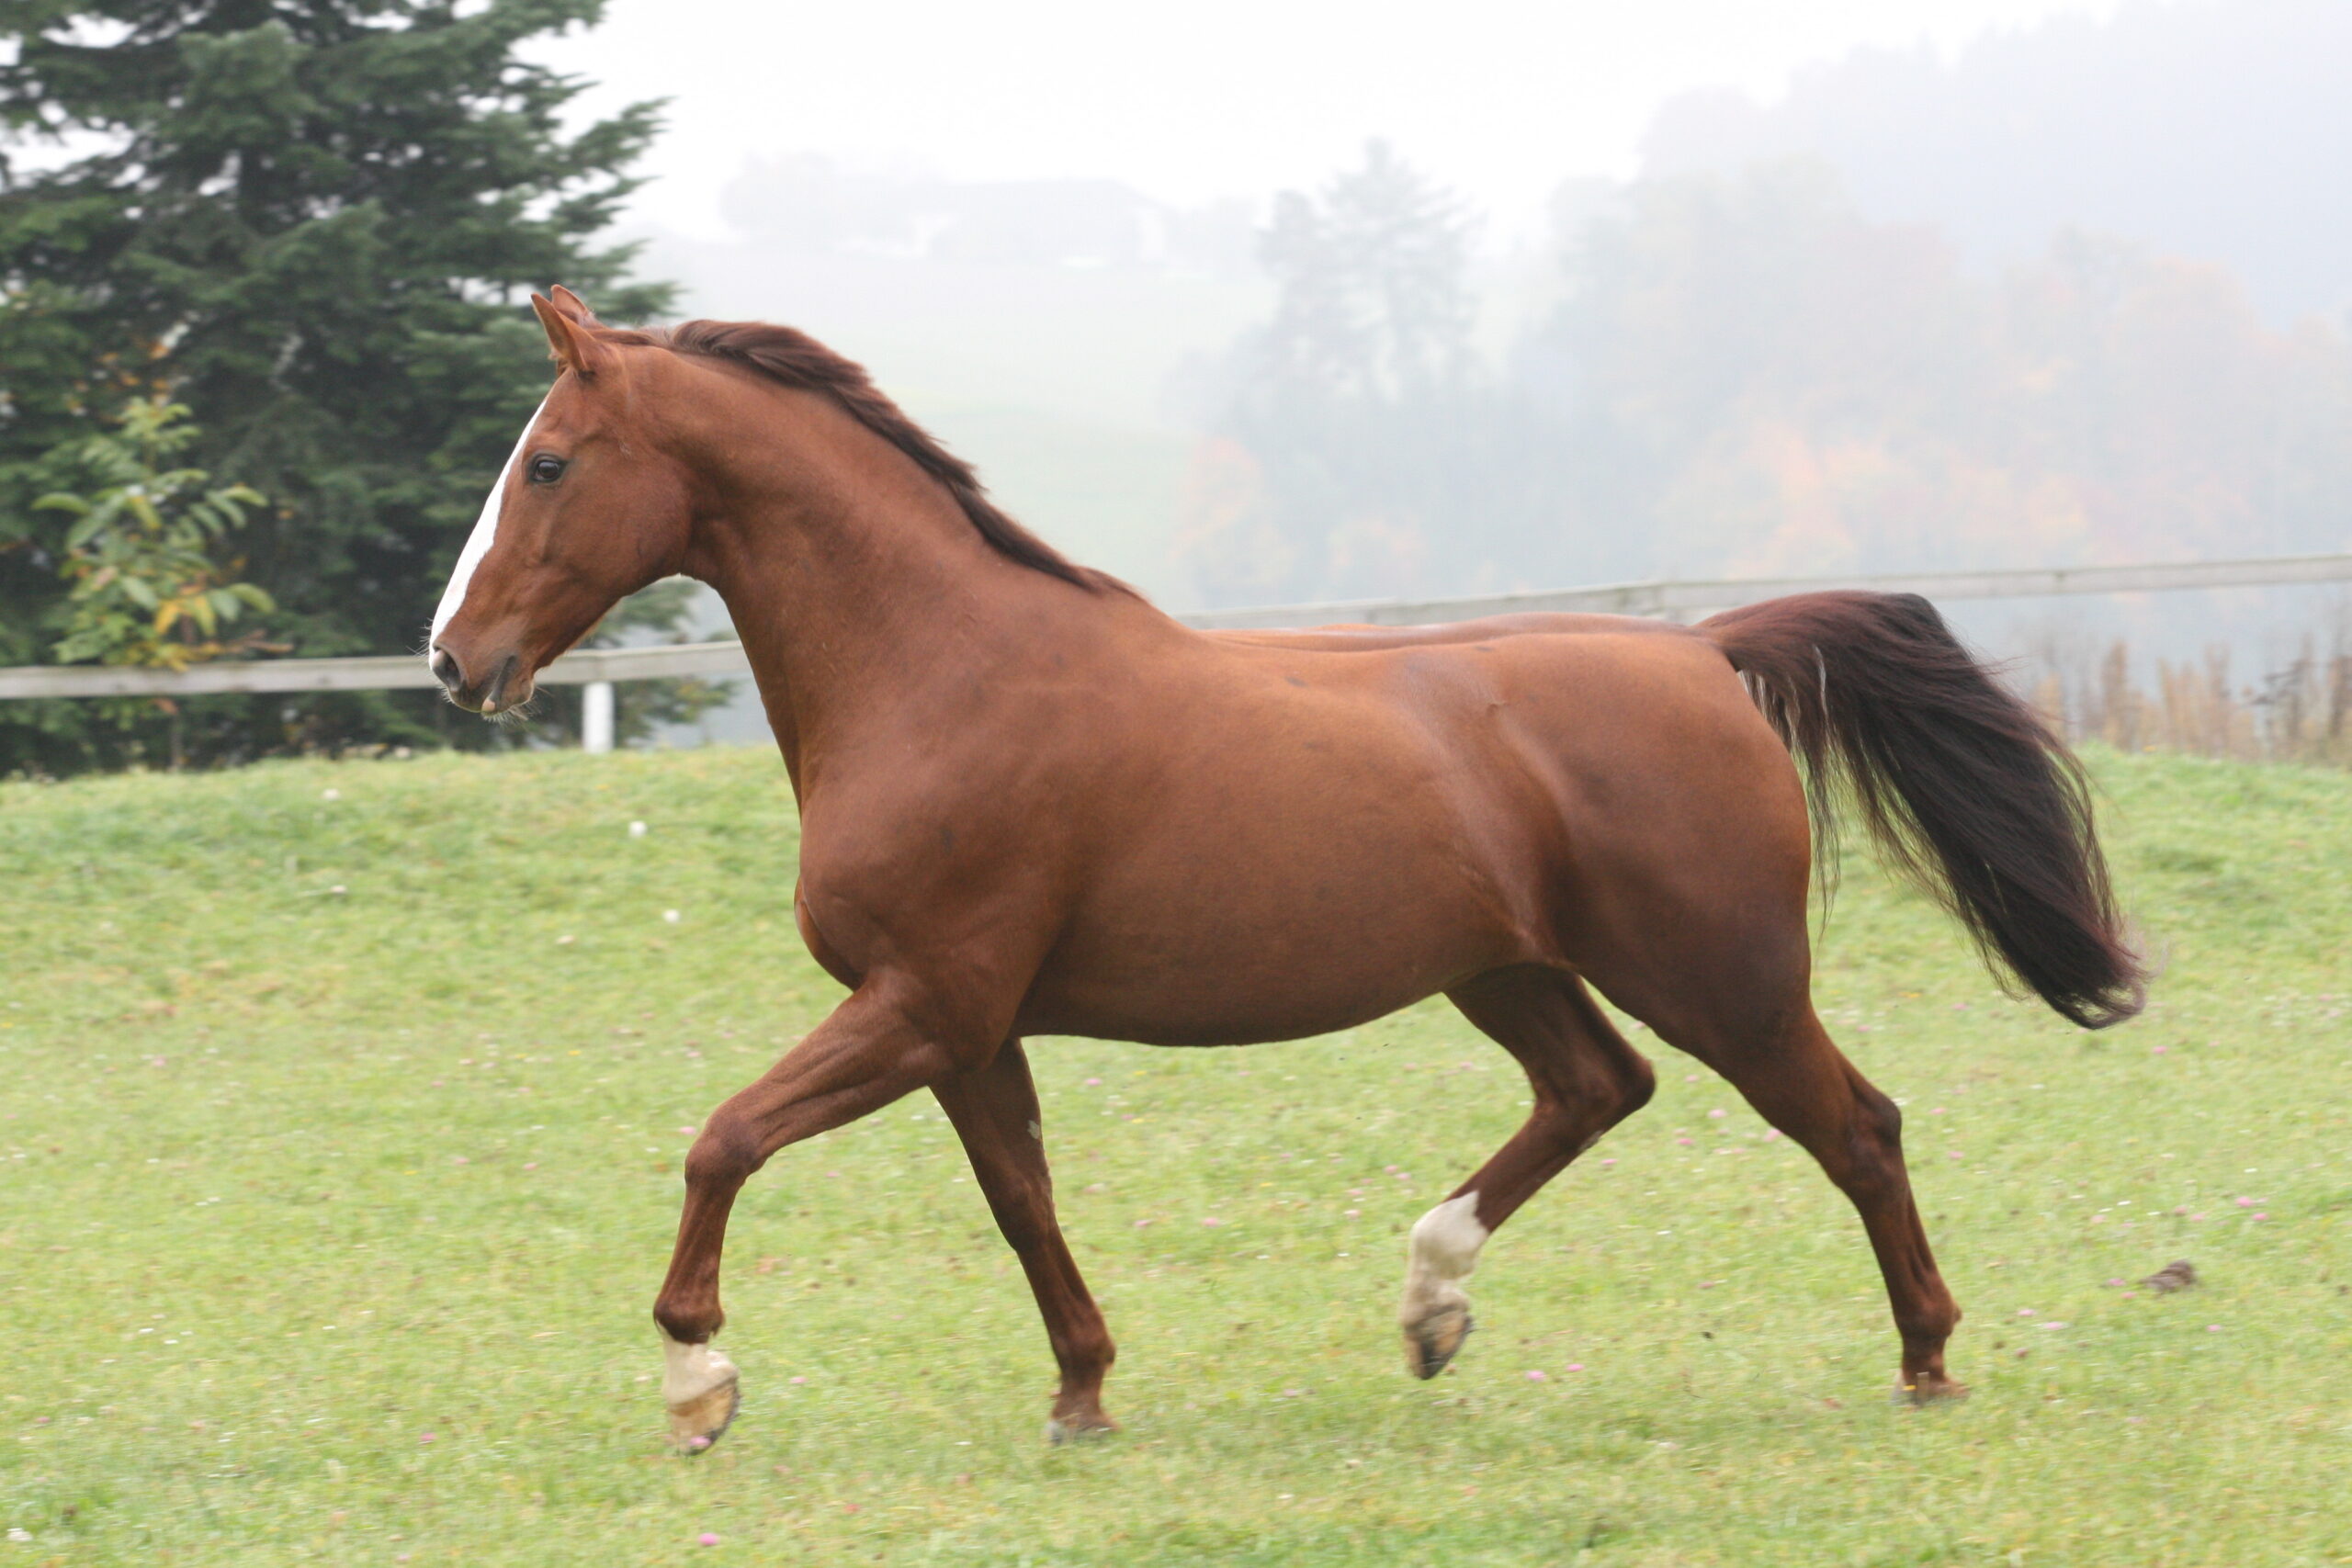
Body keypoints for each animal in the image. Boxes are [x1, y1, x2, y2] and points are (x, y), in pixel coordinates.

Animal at [425, 287, 2145, 1451]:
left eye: (552, 463)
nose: (455, 660)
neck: (940, 670)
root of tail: (1704, 652)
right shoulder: (964, 1027)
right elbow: (1021, 1200)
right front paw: (1083, 1391)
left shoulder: (924, 1001)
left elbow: (724, 1138)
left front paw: (696, 1381)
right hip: (1508, 969)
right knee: (1599, 1088)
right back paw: (1431, 1302)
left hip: (1723, 978)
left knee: (1858, 1125)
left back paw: (1926, 1358)